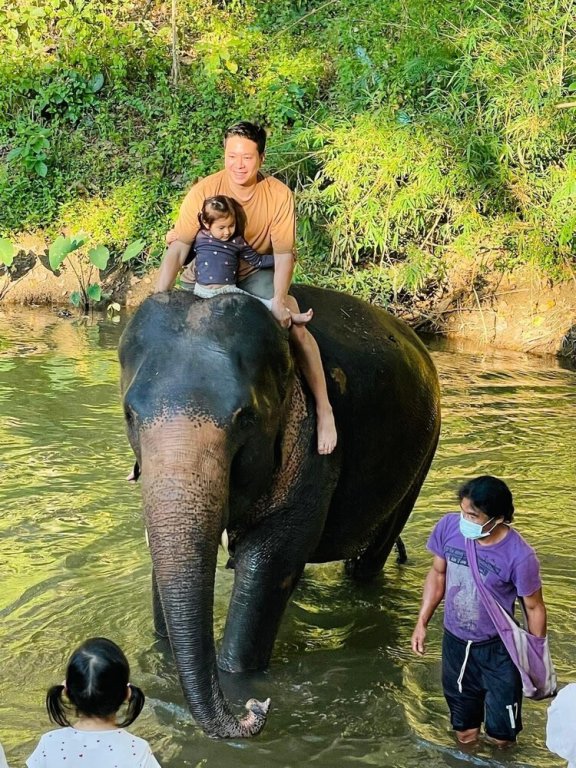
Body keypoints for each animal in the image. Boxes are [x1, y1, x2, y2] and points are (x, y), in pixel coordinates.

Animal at [119, 284, 441, 738]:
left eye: (245, 417)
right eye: (130, 414)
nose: (257, 709)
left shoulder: (315, 451)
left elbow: (269, 565)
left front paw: (241, 683)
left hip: (422, 456)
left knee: (367, 560)